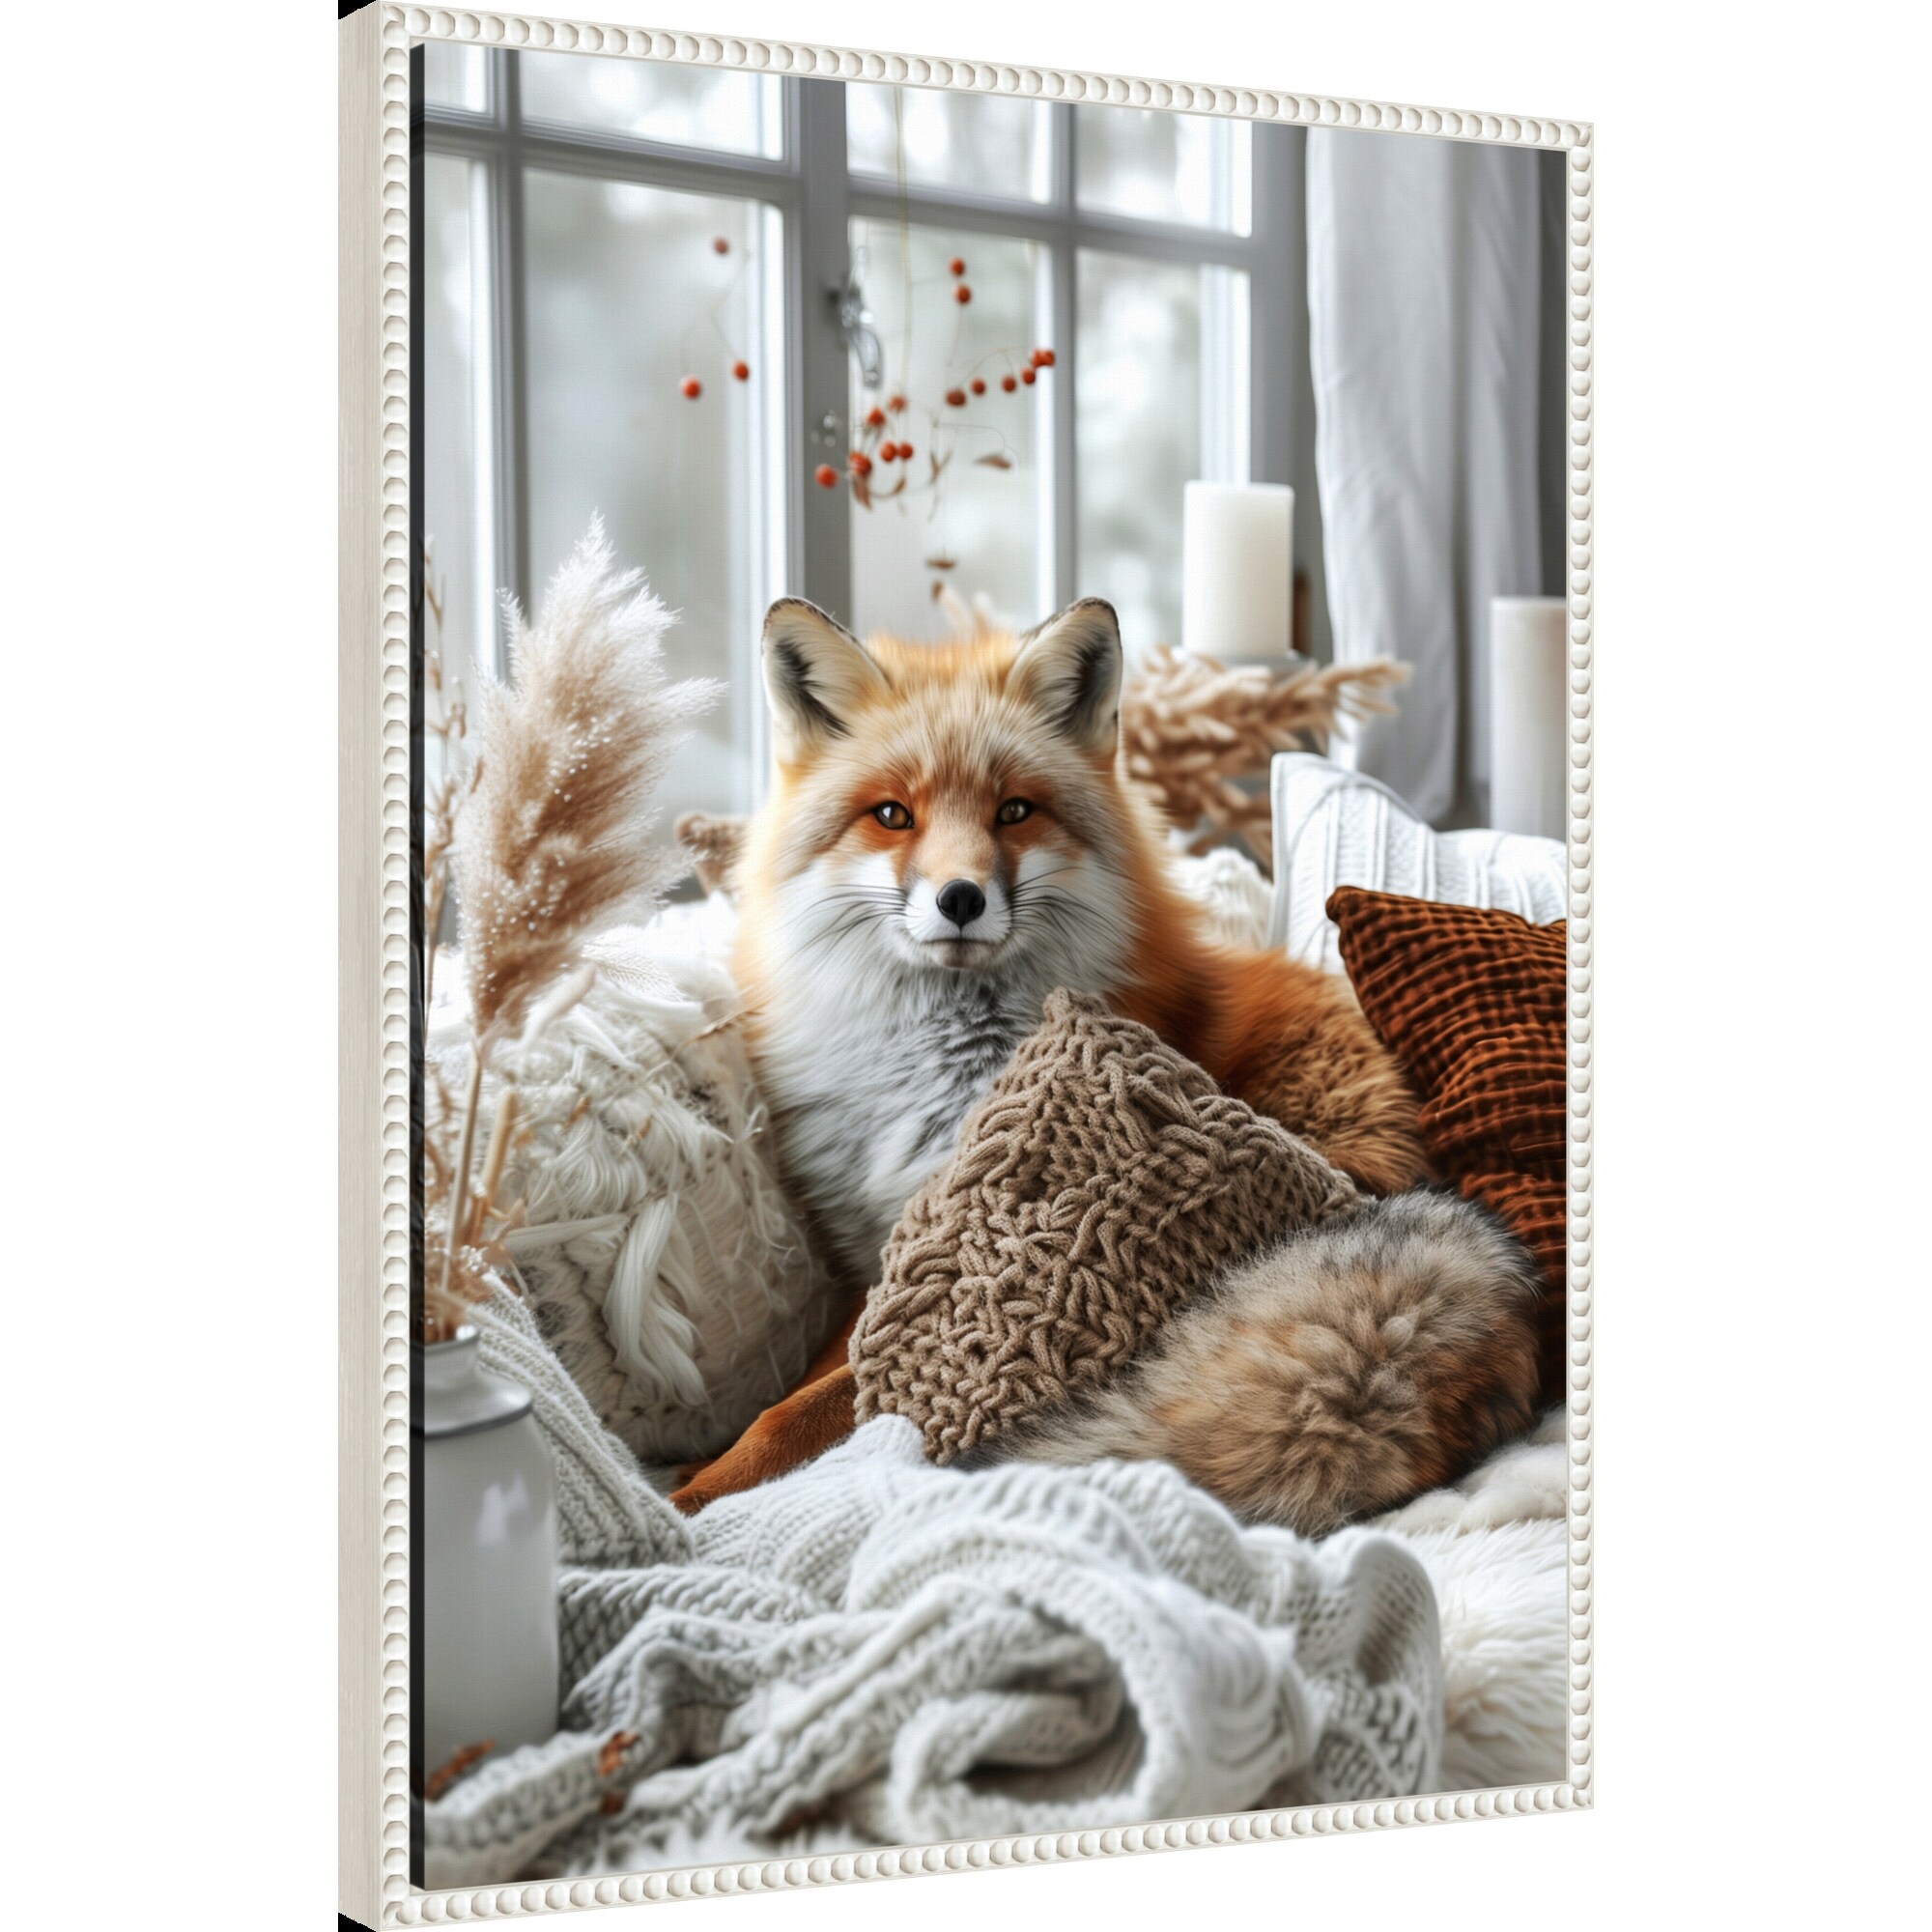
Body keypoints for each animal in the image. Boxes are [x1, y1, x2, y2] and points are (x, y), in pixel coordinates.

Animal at [672, 595, 1543, 1531]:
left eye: (1015, 811)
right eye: (892, 815)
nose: (960, 899)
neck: (936, 1075)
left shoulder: (943, 1276)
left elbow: (806, 1410)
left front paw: (689, 1501)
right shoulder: (882, 1260)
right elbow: (798, 1387)